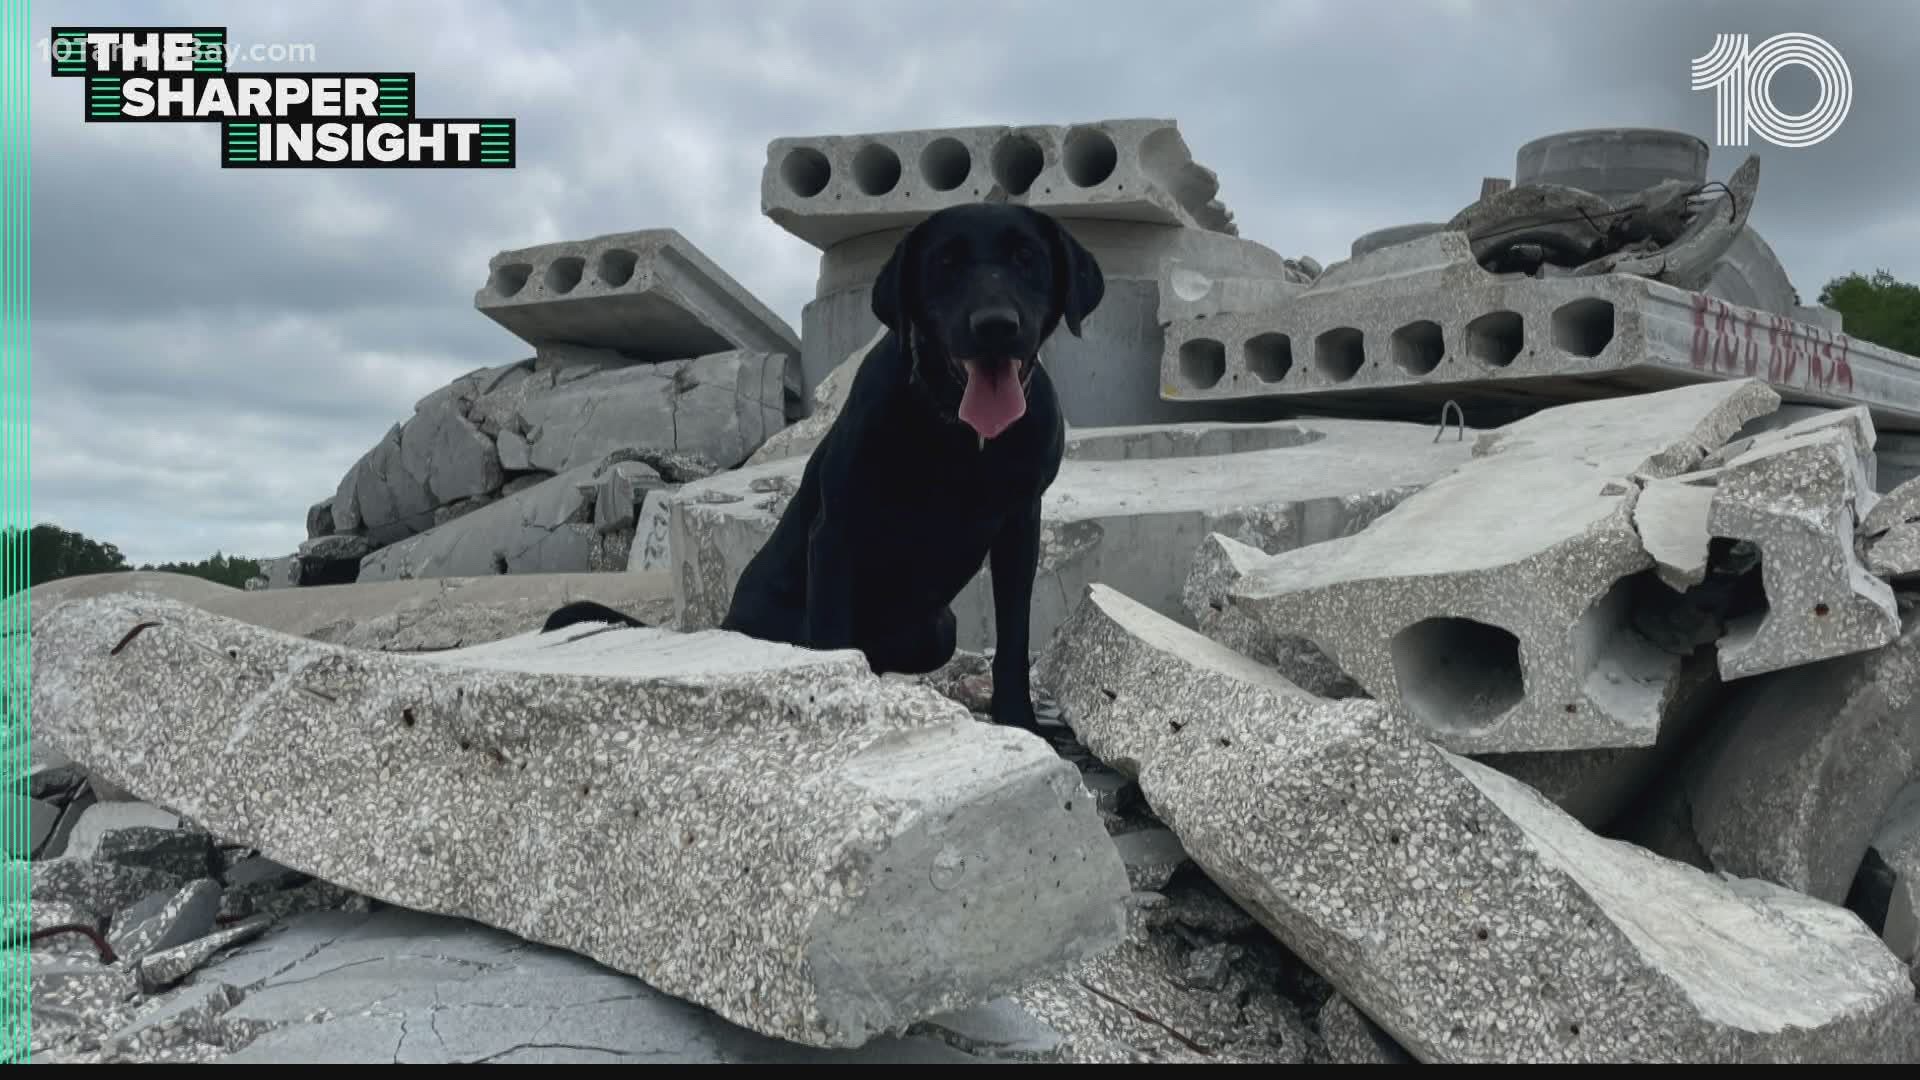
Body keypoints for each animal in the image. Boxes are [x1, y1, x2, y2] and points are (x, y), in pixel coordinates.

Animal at [541, 201, 1113, 726]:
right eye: (945, 263)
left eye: (1027, 258)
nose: (995, 326)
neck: (959, 430)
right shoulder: (838, 532)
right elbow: (834, 637)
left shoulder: (1020, 528)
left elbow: (1014, 639)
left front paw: (1018, 718)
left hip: (938, 629)